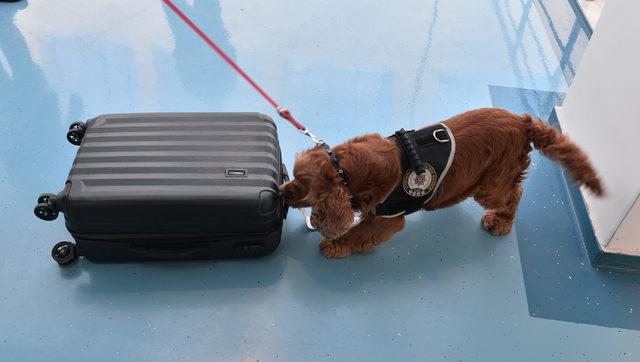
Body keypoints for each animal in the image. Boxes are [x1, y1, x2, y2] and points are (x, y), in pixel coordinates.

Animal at [282, 107, 604, 258]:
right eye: (293, 177)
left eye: (302, 185)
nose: (281, 191)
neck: (347, 169)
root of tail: (522, 121)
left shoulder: (388, 218)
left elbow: (357, 233)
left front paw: (334, 246)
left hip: (491, 186)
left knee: (514, 193)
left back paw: (500, 222)